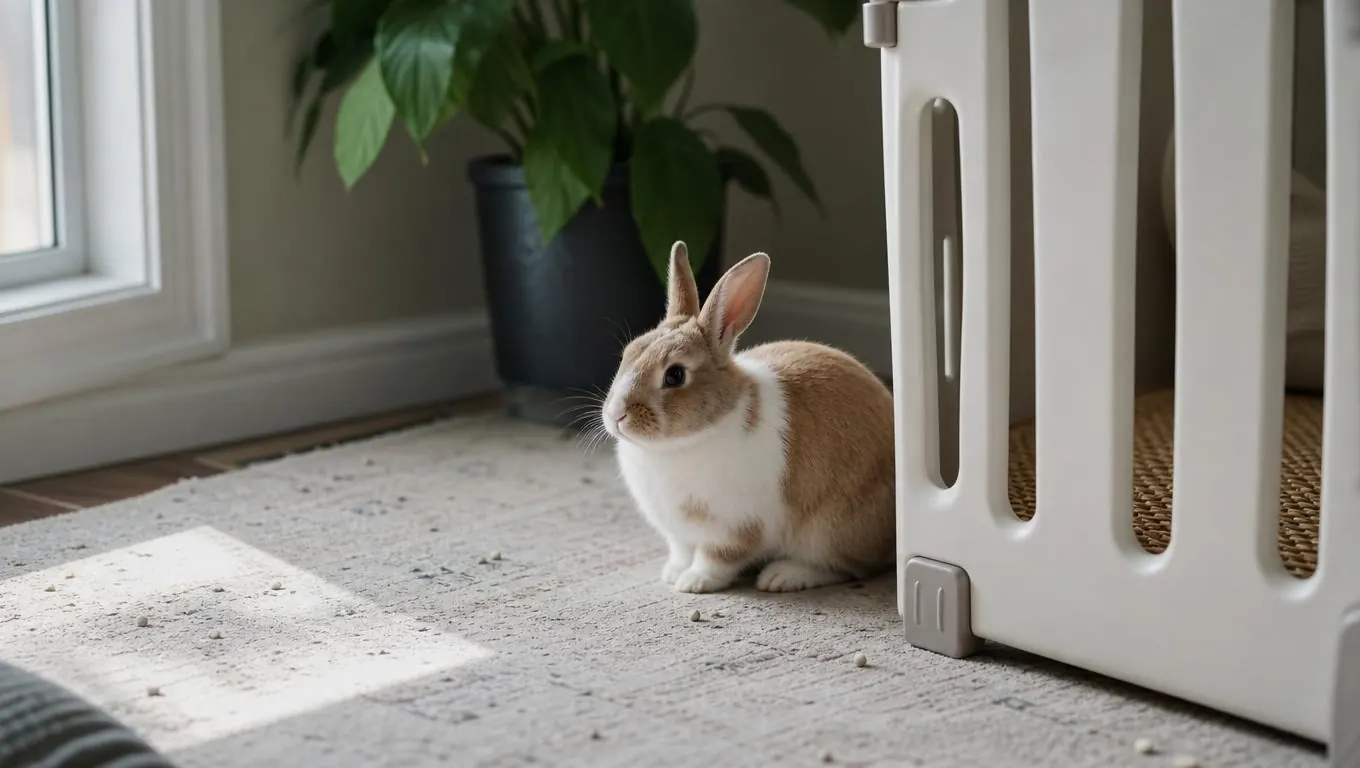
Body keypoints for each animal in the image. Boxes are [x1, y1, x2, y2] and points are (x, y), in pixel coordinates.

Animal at [599, 241, 897, 594]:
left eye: (675, 375)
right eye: (629, 353)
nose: (616, 415)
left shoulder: (735, 528)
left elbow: (717, 558)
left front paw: (692, 582)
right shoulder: (679, 534)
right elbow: (682, 550)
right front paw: (673, 573)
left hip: (830, 530)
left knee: (850, 567)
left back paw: (783, 576)